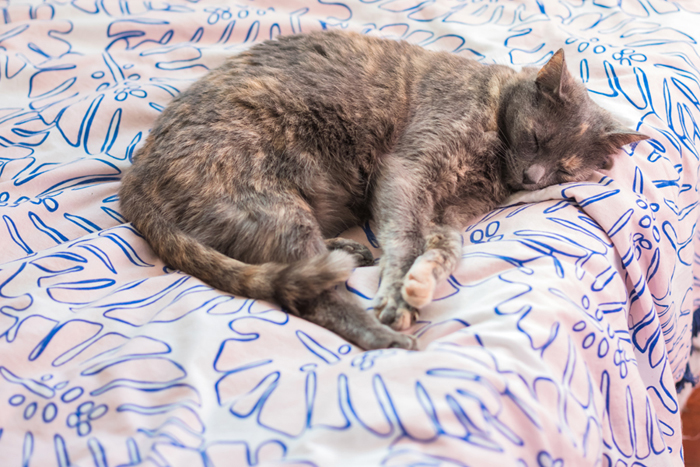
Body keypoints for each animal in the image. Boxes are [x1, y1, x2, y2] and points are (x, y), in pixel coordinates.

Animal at [117, 29, 648, 352]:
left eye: (565, 169)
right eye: (536, 139)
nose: (534, 178)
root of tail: (133, 182)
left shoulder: (450, 214)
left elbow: (446, 248)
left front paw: (422, 280)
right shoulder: (407, 170)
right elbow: (406, 238)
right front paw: (398, 295)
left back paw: (350, 250)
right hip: (273, 203)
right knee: (314, 297)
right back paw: (382, 335)